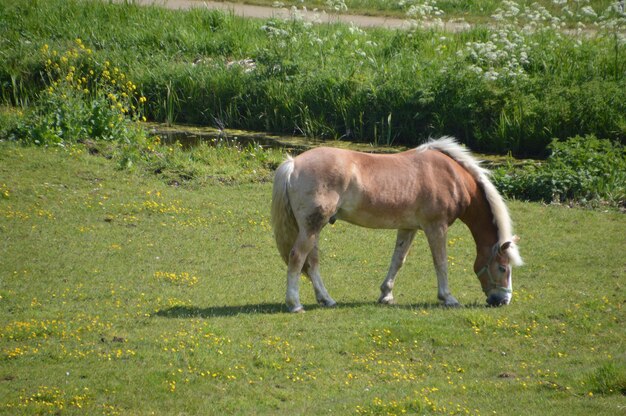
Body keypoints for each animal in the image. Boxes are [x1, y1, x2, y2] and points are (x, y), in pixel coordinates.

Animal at [270, 136, 520, 312]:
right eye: (503, 267)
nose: (504, 300)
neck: (452, 177)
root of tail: (293, 164)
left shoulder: (408, 228)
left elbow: (398, 261)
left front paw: (386, 295)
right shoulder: (435, 227)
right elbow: (440, 262)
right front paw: (448, 298)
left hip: (313, 228)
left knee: (311, 263)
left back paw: (327, 300)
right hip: (311, 228)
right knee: (297, 258)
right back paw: (295, 304)